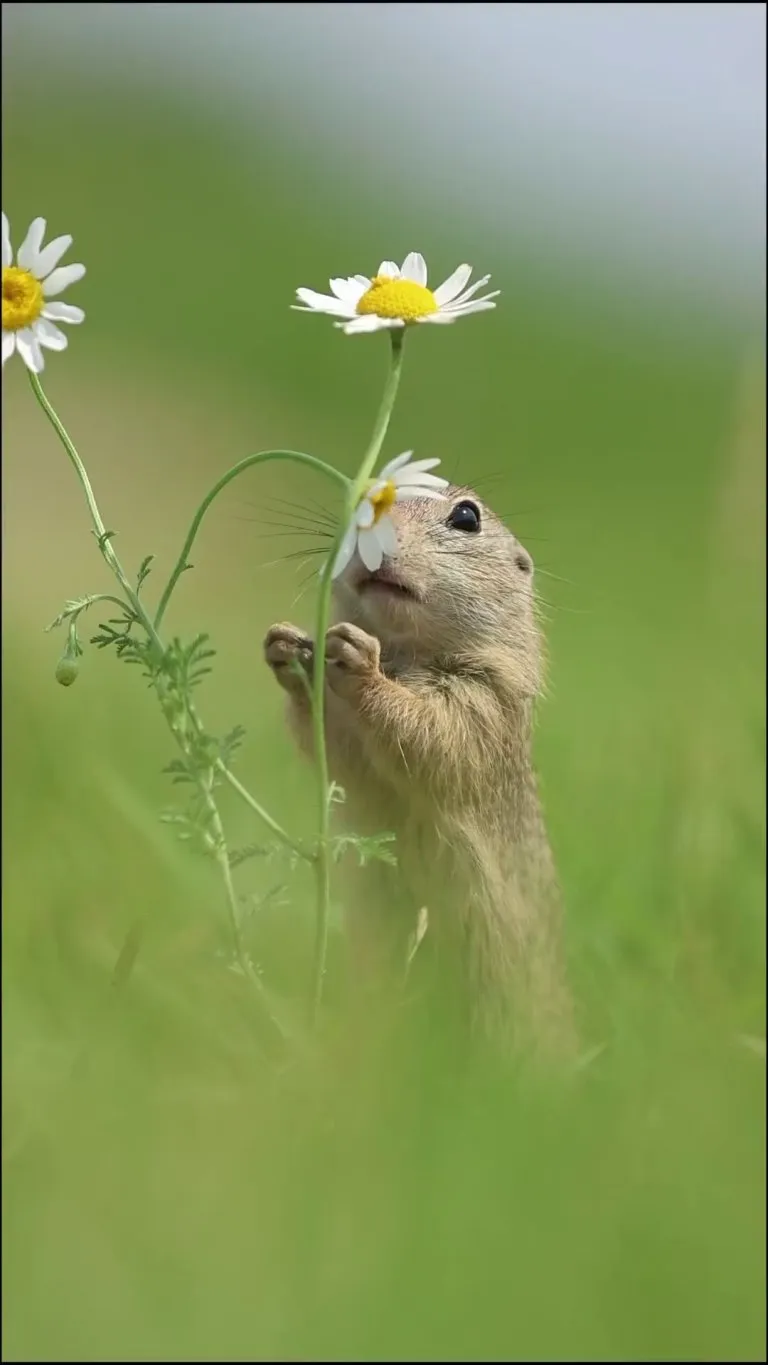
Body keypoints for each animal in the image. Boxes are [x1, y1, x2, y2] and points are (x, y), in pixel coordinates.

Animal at [263, 485, 575, 1061]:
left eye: (467, 516)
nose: (369, 529)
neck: (406, 653)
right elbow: (339, 751)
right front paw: (288, 650)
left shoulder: (482, 705)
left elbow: (430, 735)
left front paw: (359, 663)